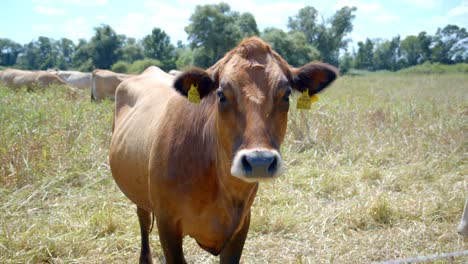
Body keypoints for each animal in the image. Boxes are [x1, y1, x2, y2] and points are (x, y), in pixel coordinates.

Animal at [109, 37, 336, 264]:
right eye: (221, 94)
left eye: (287, 95)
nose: (259, 162)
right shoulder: (167, 223)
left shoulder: (242, 224)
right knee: (143, 219)